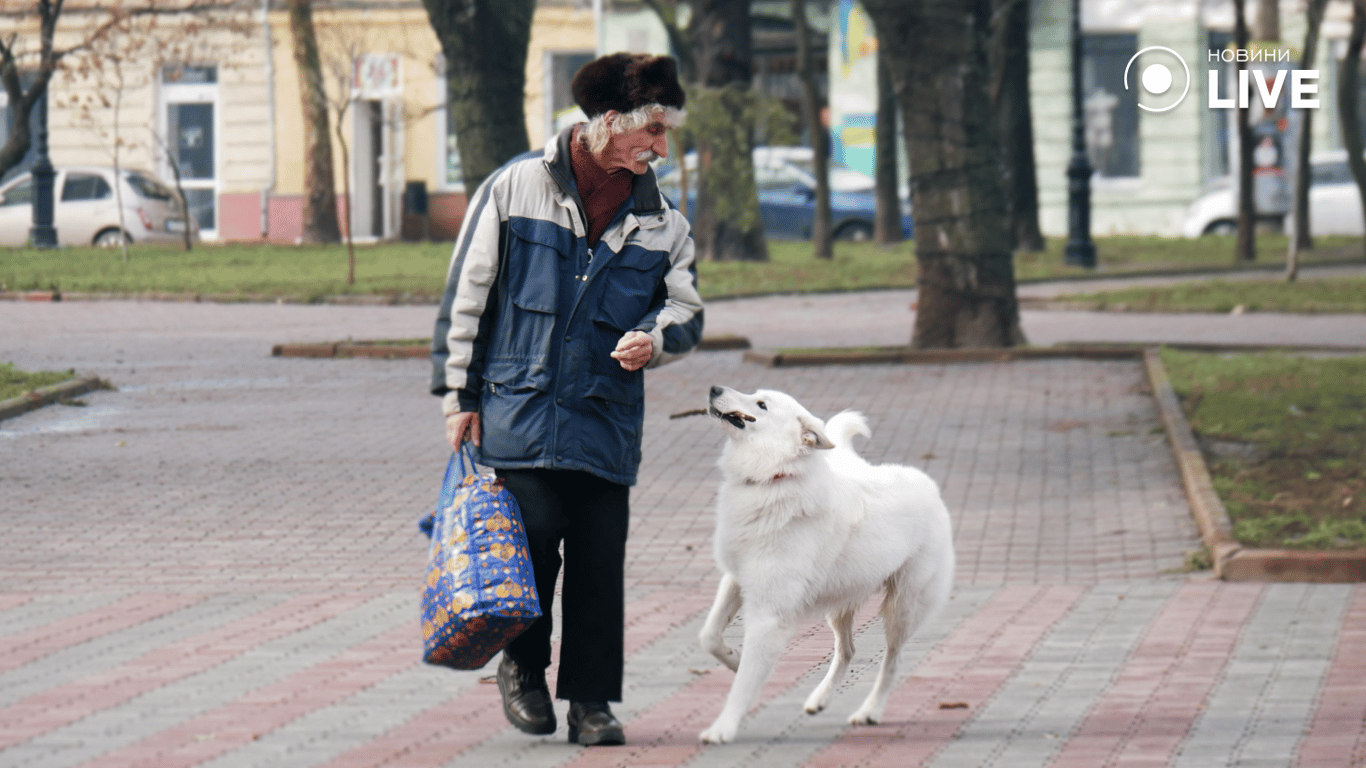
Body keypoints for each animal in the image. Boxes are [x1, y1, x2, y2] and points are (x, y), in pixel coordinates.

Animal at [699, 382, 956, 743]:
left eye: (761, 405)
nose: (714, 388)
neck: (775, 477)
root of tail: (928, 484)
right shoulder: (736, 579)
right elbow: (708, 635)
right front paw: (733, 659)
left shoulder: (768, 615)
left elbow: (745, 683)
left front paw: (723, 728)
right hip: (839, 604)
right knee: (848, 650)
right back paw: (819, 699)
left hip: (901, 610)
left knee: (891, 662)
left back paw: (869, 712)